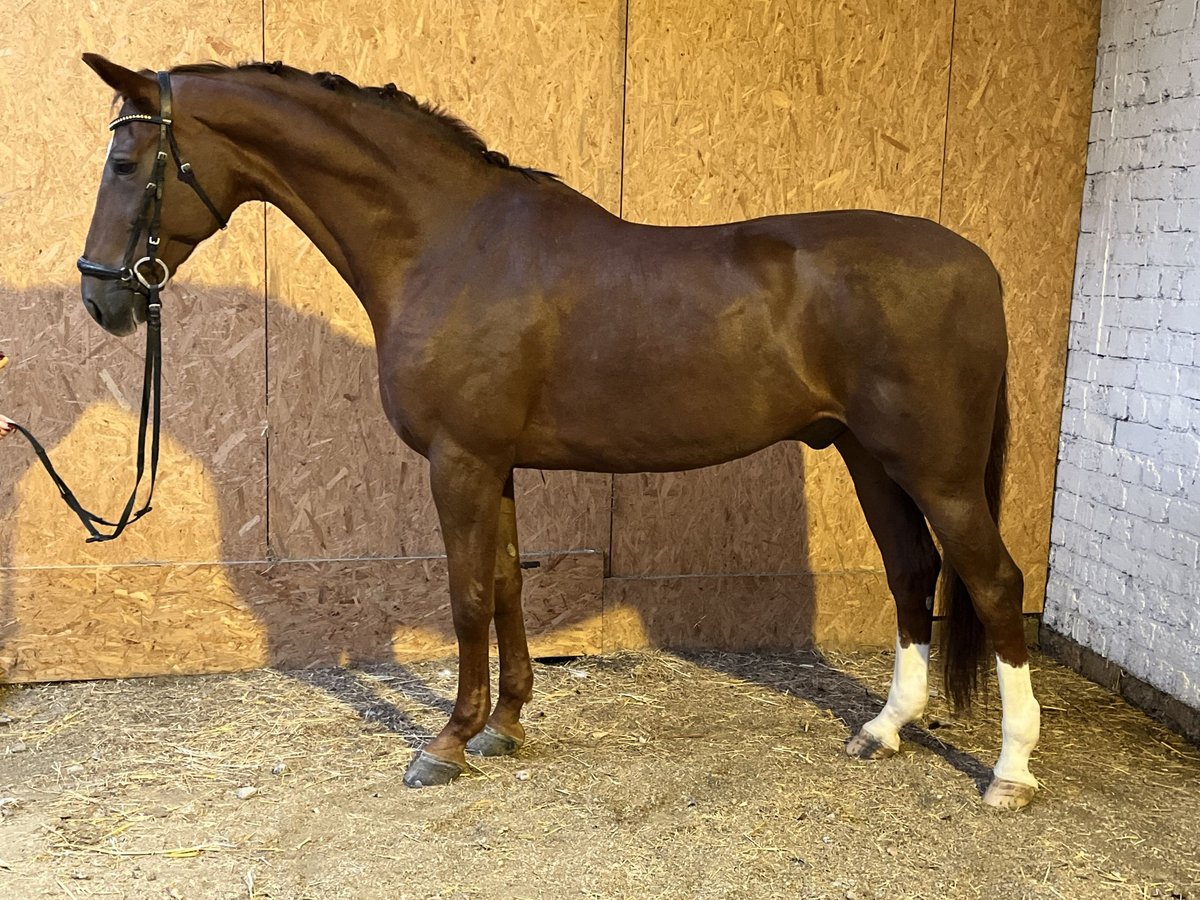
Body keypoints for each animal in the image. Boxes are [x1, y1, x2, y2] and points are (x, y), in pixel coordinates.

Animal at [77, 54, 1041, 811]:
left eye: (126, 162)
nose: (100, 296)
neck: (450, 243)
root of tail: (980, 264)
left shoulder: (460, 462)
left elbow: (468, 595)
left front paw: (446, 744)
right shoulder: (495, 464)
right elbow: (507, 584)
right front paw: (504, 726)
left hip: (938, 470)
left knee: (994, 583)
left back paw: (1011, 772)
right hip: (869, 457)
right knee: (912, 572)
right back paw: (884, 729)